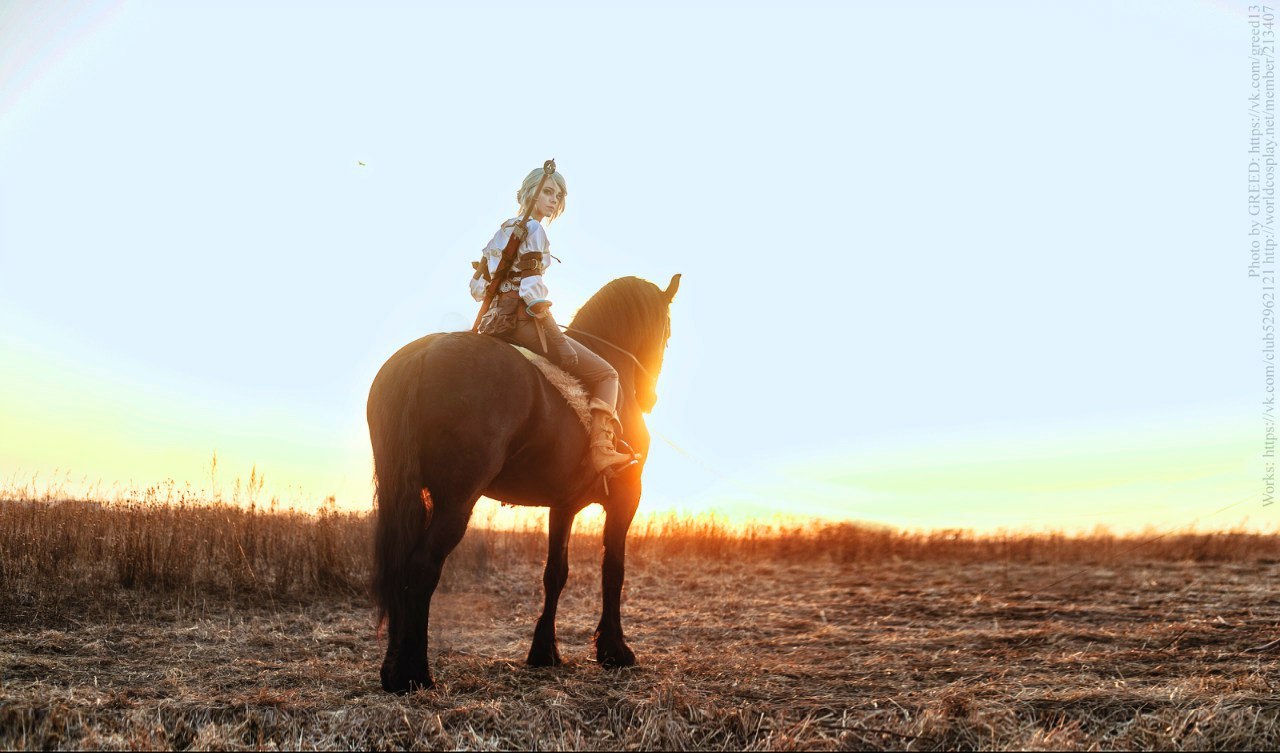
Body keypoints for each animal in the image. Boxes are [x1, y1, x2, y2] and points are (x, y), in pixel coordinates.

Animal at [366, 271, 680, 696]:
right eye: (667, 330)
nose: (650, 397)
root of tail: (425, 353)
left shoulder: (563, 504)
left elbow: (555, 573)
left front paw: (544, 651)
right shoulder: (626, 498)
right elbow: (613, 569)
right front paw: (615, 651)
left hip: (405, 492)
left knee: (400, 563)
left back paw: (394, 669)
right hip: (456, 501)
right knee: (421, 566)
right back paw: (413, 674)